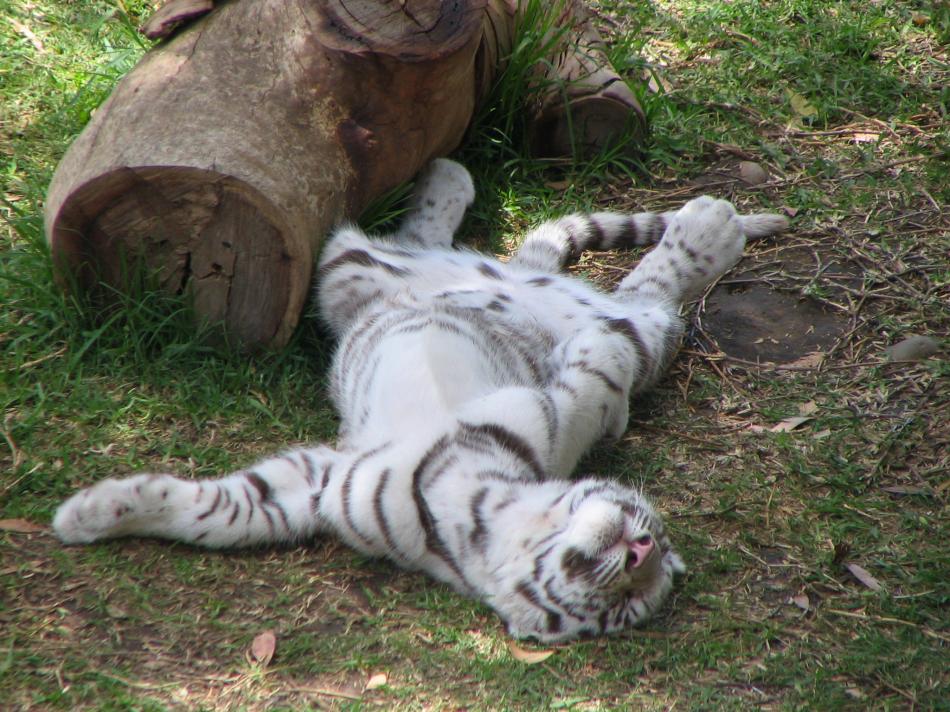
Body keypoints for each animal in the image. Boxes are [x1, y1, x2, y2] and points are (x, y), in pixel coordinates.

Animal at [53, 159, 787, 641]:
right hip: (354, 272)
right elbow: (215, 511)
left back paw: (709, 229)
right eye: (646, 533)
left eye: (625, 607)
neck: (474, 511)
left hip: (359, 271)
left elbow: (605, 372)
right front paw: (90, 513)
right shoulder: (318, 479)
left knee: (648, 302)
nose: (638, 553)